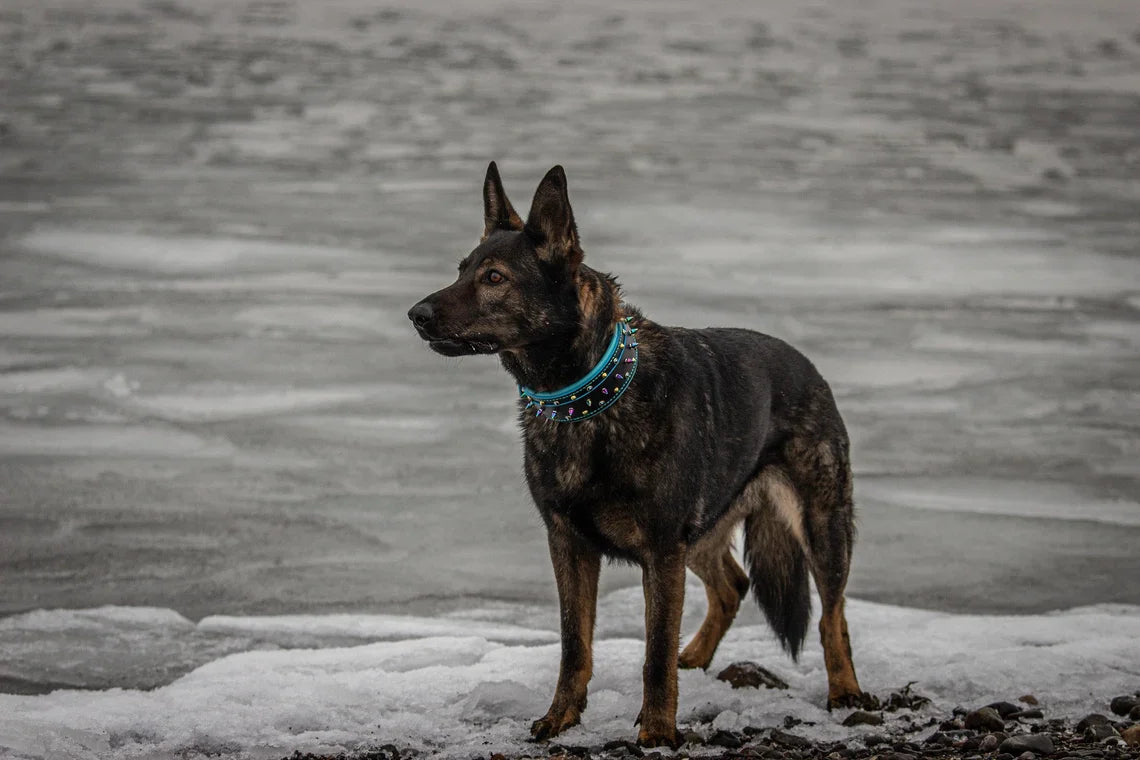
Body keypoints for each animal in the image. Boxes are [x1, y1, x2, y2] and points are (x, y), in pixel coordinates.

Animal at [414, 161, 866, 747]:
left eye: (494, 278)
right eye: (461, 270)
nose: (416, 314)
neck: (588, 398)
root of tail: (809, 369)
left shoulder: (660, 549)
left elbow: (653, 653)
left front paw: (656, 729)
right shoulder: (570, 545)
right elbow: (574, 645)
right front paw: (562, 717)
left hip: (819, 527)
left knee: (833, 614)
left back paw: (845, 692)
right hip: (701, 537)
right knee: (732, 587)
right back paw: (694, 659)